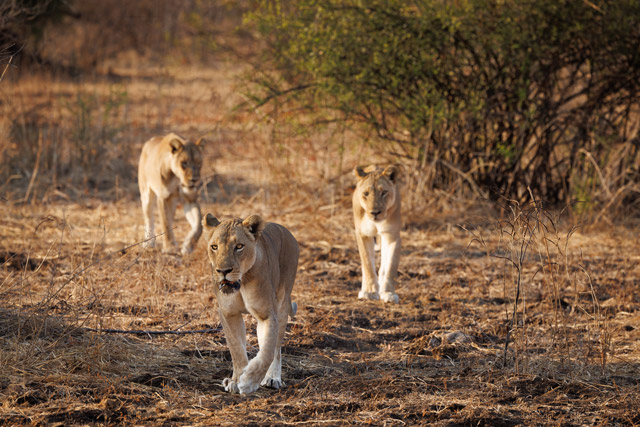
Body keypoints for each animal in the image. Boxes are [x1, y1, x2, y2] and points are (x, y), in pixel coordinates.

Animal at [202, 213, 299, 394]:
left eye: (239, 246)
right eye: (214, 247)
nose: (223, 271)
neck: (242, 281)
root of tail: (286, 231)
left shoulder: (267, 315)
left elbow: (267, 351)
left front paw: (249, 381)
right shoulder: (228, 313)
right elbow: (236, 349)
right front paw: (235, 381)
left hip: (283, 304)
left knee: (276, 349)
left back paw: (272, 378)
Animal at [352, 164, 402, 303]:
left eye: (384, 192)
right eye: (366, 193)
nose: (375, 213)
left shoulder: (392, 235)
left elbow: (390, 266)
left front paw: (388, 293)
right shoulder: (363, 234)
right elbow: (367, 264)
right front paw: (369, 292)